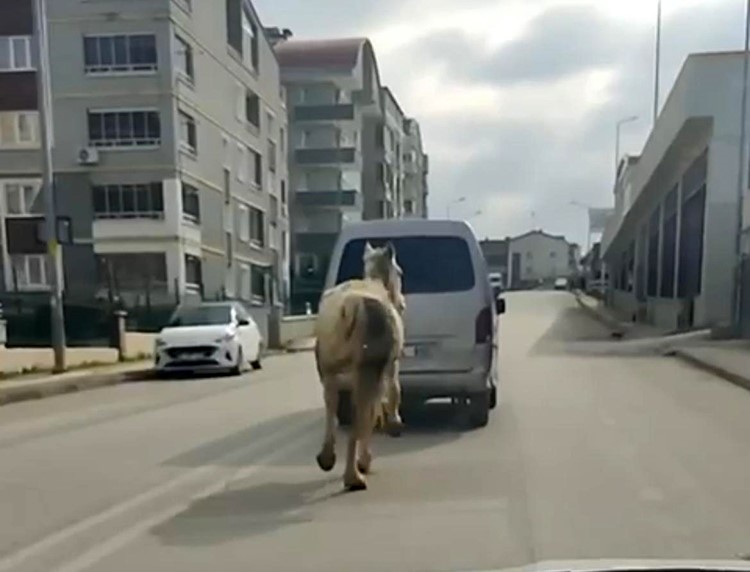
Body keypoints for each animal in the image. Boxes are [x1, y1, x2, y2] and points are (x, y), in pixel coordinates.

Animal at [314, 241, 408, 492]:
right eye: (400, 272)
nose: (403, 303)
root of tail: (348, 309)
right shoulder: (388, 366)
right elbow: (387, 399)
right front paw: (393, 426)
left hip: (330, 370)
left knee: (332, 408)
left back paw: (327, 458)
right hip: (365, 371)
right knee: (358, 417)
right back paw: (354, 477)